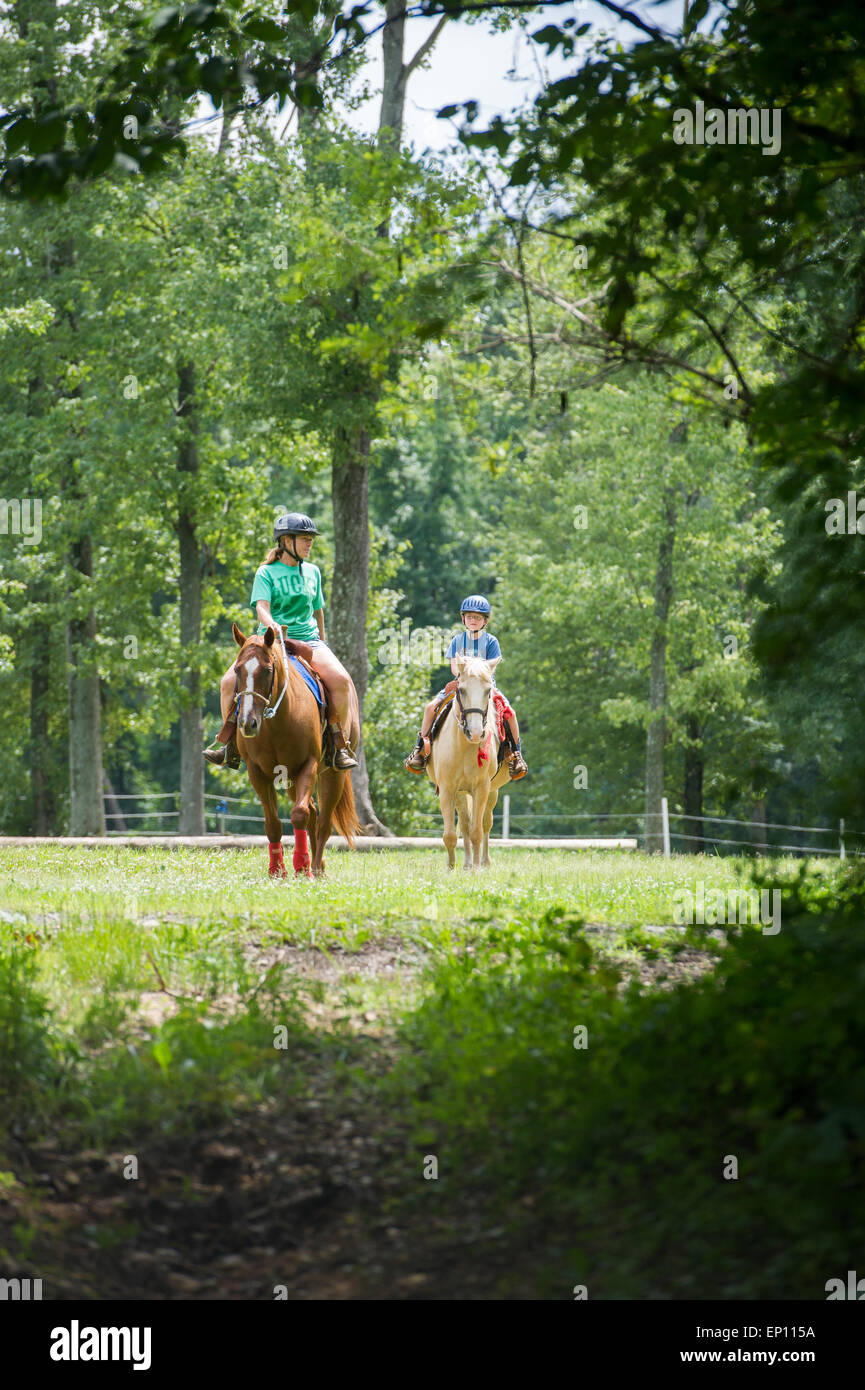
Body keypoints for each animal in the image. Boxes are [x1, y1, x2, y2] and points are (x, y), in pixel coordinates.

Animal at [230, 625, 358, 872]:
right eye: (237, 670)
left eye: (267, 670)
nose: (248, 723)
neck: (276, 722)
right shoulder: (257, 771)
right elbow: (273, 824)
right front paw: (277, 870)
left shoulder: (308, 764)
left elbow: (299, 814)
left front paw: (302, 866)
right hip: (289, 779)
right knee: (314, 813)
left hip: (332, 774)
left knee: (323, 822)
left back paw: (316, 867)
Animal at [428, 650, 511, 867]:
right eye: (461, 690)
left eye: (488, 690)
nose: (475, 732)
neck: (464, 747)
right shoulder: (447, 789)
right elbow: (451, 835)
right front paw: (451, 868)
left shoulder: (481, 788)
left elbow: (477, 832)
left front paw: (476, 869)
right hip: (460, 793)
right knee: (464, 823)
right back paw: (466, 864)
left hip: (492, 791)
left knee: (485, 823)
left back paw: (483, 863)